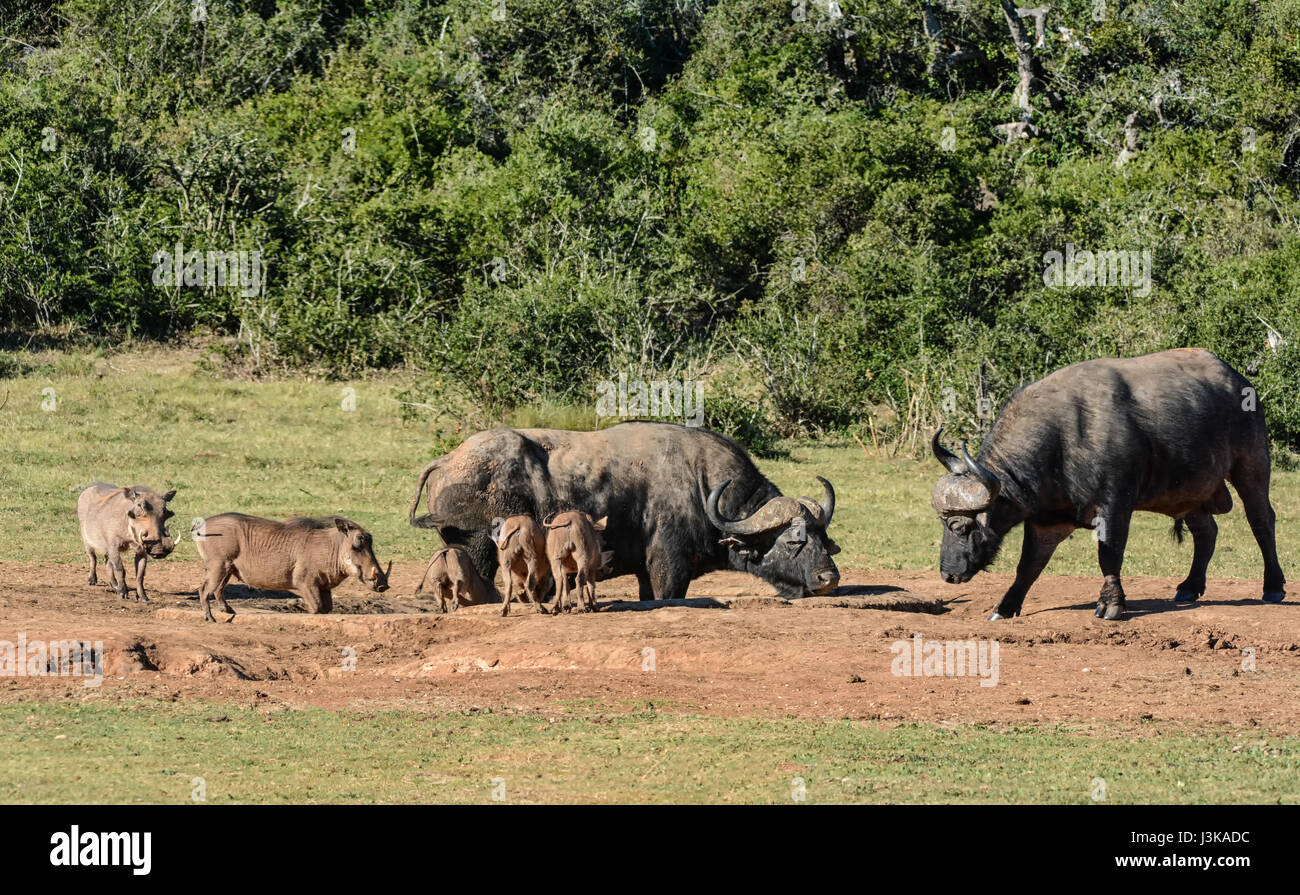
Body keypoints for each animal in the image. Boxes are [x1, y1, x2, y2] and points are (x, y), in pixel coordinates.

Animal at [410, 421, 847, 601]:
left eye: (823, 537)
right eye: (793, 540)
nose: (829, 578)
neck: (702, 485)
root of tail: (448, 459)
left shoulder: (644, 573)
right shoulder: (669, 567)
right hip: (478, 550)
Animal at [930, 346, 1284, 619]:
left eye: (959, 526)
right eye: (942, 524)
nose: (948, 574)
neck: (1063, 440)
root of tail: (1240, 381)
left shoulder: (1115, 505)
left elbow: (1109, 554)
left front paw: (1111, 603)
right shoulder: (1049, 520)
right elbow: (1029, 564)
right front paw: (1005, 606)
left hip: (1252, 462)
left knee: (1261, 519)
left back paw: (1273, 586)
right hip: (1189, 489)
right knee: (1206, 531)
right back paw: (1189, 587)